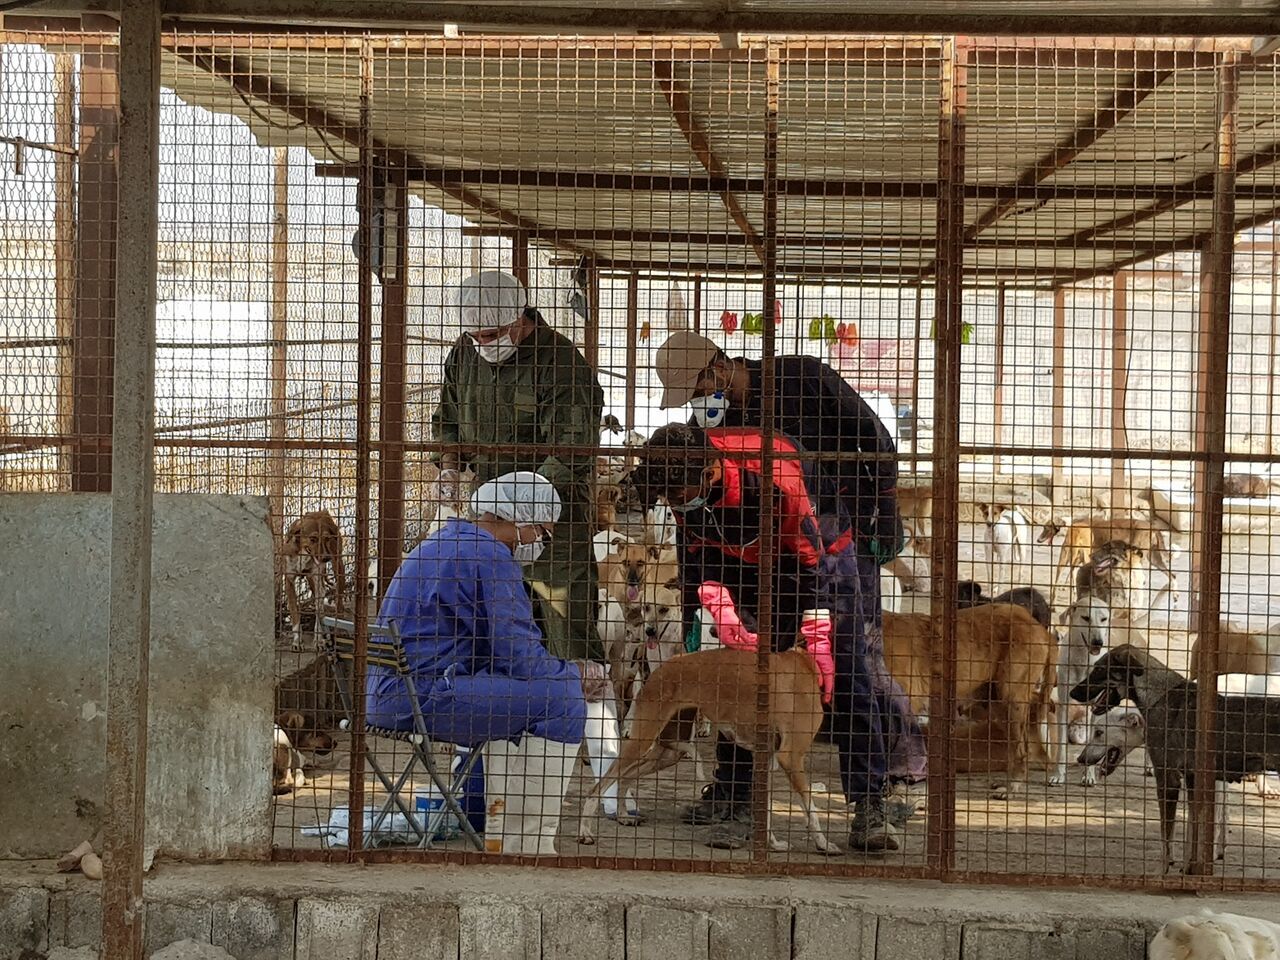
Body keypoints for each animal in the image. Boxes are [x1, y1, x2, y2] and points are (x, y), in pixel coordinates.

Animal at [284, 512, 348, 655]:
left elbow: (319, 612)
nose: (325, 558)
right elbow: (295, 614)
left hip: (338, 567)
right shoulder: (289, 581)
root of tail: (323, 512)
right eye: (312, 539)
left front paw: (318, 641)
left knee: (339, 601)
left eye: (327, 538)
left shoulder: (318, 581)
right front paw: (297, 641)